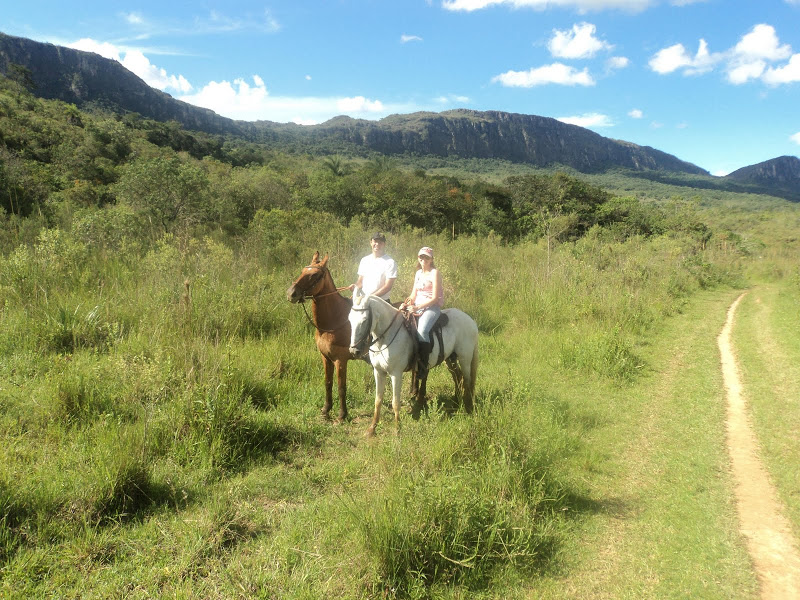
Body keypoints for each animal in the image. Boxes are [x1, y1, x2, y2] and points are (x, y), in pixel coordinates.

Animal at [284, 252, 354, 422]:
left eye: (315, 275)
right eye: (303, 270)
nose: (291, 293)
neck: (335, 320)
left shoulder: (340, 360)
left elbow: (341, 387)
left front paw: (342, 415)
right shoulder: (326, 358)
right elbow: (328, 383)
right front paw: (326, 409)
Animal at [346, 288, 478, 436]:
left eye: (364, 320)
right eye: (349, 319)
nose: (354, 351)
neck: (385, 338)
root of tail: (470, 320)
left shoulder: (396, 374)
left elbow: (395, 402)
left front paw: (397, 429)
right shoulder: (379, 372)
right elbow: (378, 400)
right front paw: (372, 428)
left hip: (465, 358)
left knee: (467, 380)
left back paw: (467, 406)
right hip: (450, 359)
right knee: (457, 377)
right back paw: (456, 401)